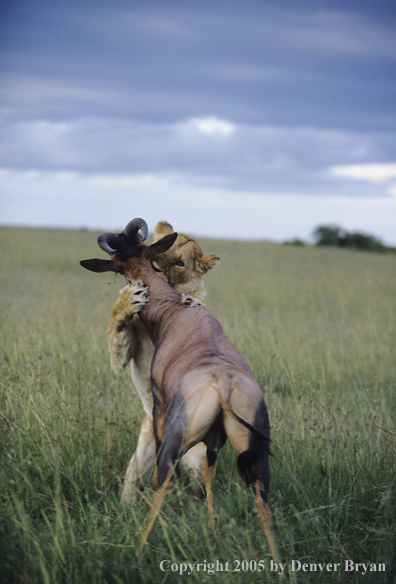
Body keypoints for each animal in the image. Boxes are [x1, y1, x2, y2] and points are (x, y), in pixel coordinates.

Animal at [79, 218, 278, 560]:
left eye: (118, 263)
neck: (177, 312)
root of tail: (222, 383)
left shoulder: (160, 407)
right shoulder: (213, 442)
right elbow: (211, 473)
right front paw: (211, 528)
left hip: (175, 441)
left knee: (160, 484)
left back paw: (139, 550)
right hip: (253, 454)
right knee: (262, 505)